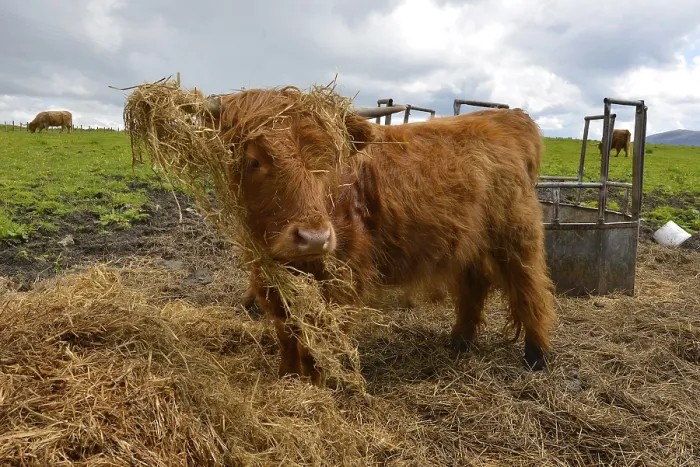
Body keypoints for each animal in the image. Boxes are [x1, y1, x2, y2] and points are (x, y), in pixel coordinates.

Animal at [203, 87, 556, 386]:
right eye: (254, 160)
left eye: (331, 161)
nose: (314, 238)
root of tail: (508, 117)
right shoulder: (268, 276)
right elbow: (287, 331)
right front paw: (288, 378)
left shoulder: (343, 280)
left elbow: (321, 338)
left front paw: (317, 386)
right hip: (470, 242)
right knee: (475, 284)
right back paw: (459, 342)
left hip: (517, 237)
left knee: (530, 288)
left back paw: (536, 355)